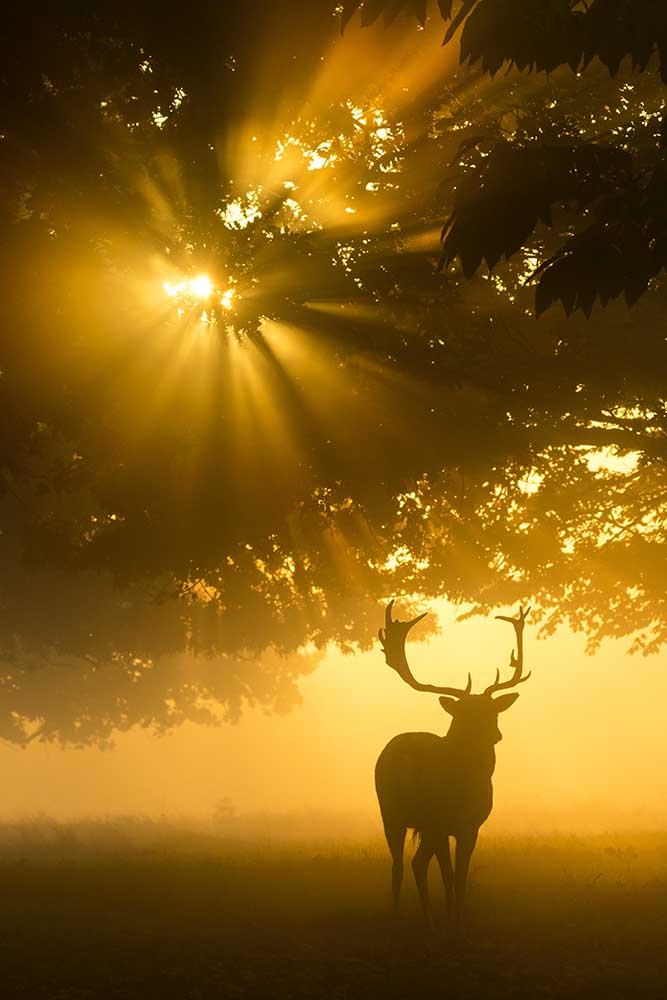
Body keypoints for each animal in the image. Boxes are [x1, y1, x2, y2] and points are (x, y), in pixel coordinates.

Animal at [376, 596, 532, 932]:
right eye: (466, 714)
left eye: (493, 711)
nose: (495, 735)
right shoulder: (465, 823)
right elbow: (456, 876)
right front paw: (457, 920)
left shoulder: (452, 826)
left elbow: (450, 875)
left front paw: (451, 916)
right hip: (408, 813)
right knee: (407, 863)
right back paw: (412, 918)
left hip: (404, 816)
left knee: (406, 864)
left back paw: (416, 917)